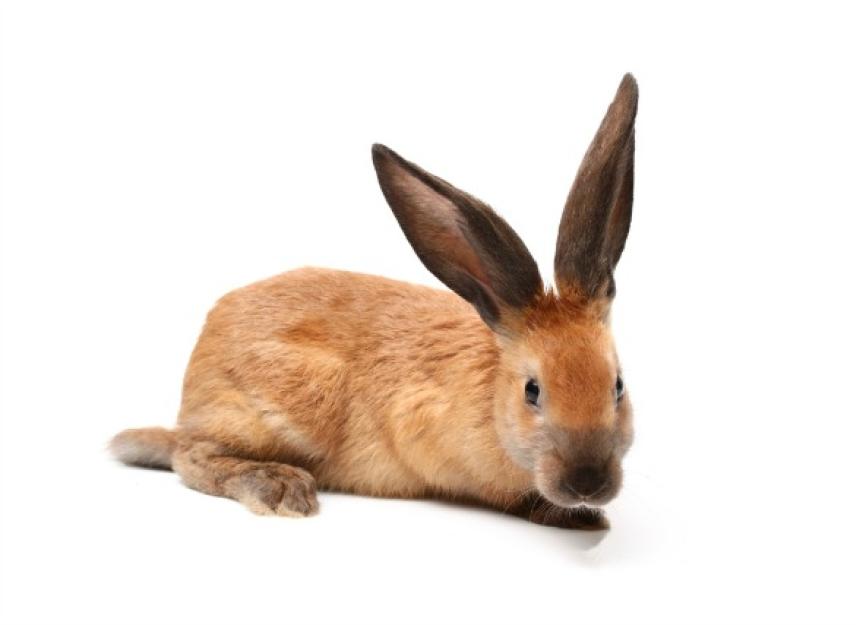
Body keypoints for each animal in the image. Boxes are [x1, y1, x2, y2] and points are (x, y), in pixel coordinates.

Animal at [110, 74, 637, 530]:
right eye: (533, 391)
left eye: (617, 386)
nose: (588, 485)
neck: (490, 395)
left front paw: (587, 517)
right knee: (192, 455)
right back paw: (279, 488)